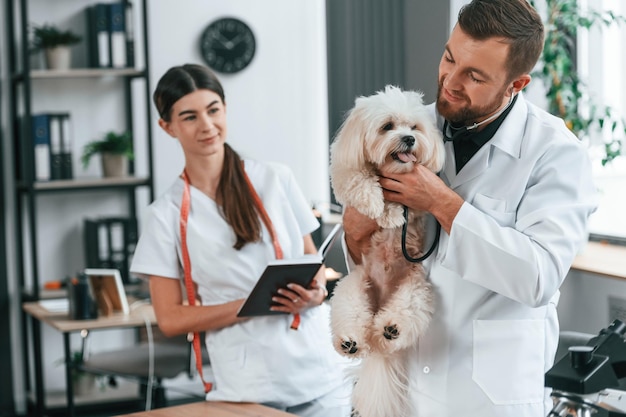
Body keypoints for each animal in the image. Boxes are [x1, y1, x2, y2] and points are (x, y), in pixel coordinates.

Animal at [330, 84, 442, 416]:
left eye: (414, 127)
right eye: (388, 126)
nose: (409, 139)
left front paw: (393, 212)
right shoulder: (346, 169)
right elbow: (360, 180)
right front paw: (379, 206)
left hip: (416, 291)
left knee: (400, 320)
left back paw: (390, 330)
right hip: (352, 287)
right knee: (352, 319)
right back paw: (351, 342)